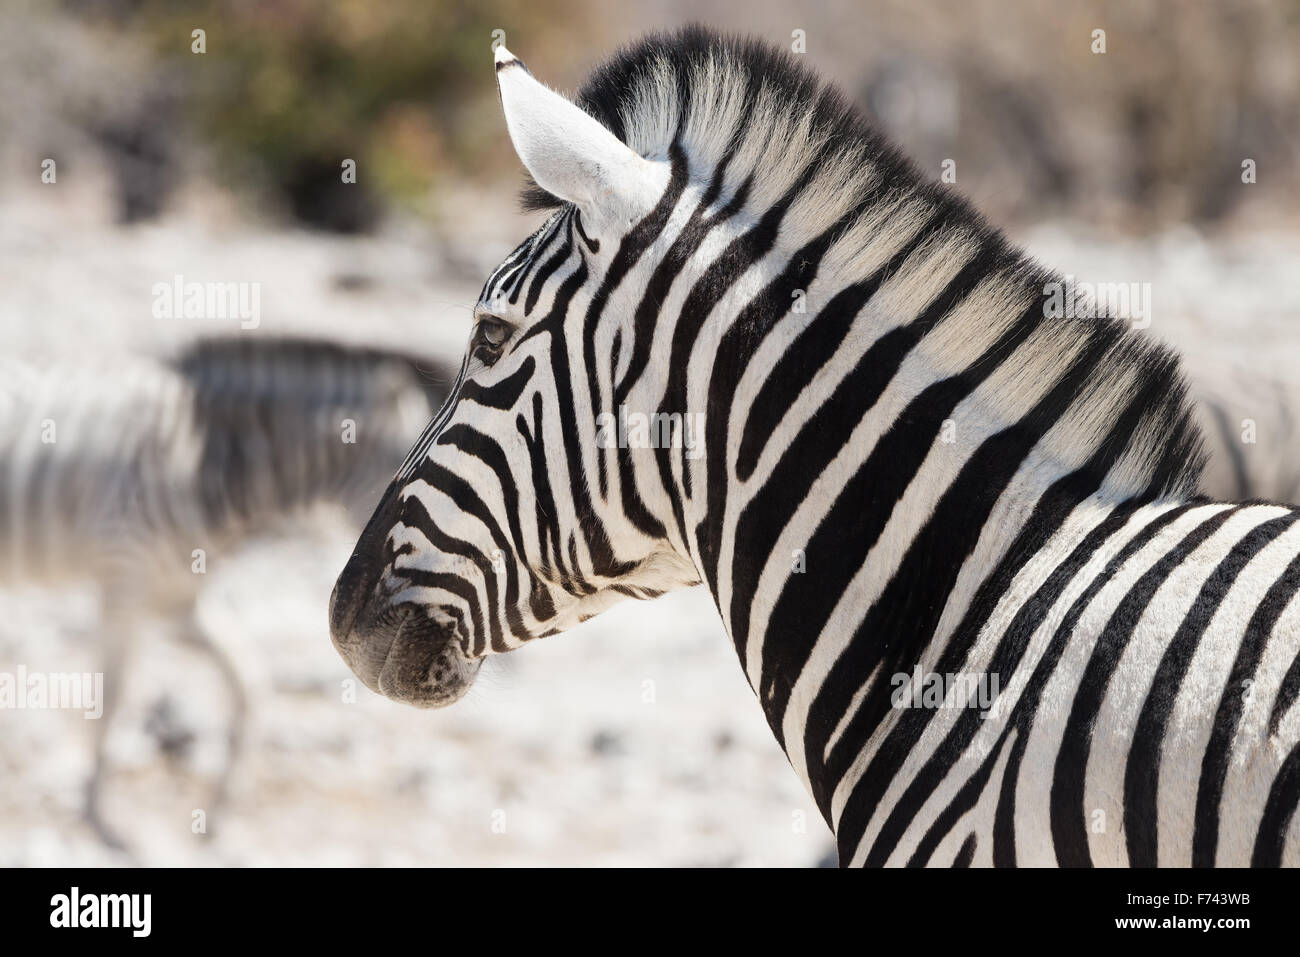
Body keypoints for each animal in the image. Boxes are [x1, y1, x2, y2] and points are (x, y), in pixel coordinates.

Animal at [0, 338, 449, 852]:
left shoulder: (175, 600)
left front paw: (218, 812)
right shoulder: (123, 587)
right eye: (417, 496)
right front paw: (100, 820)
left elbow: (249, 683)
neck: (198, 463)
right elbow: (113, 698)